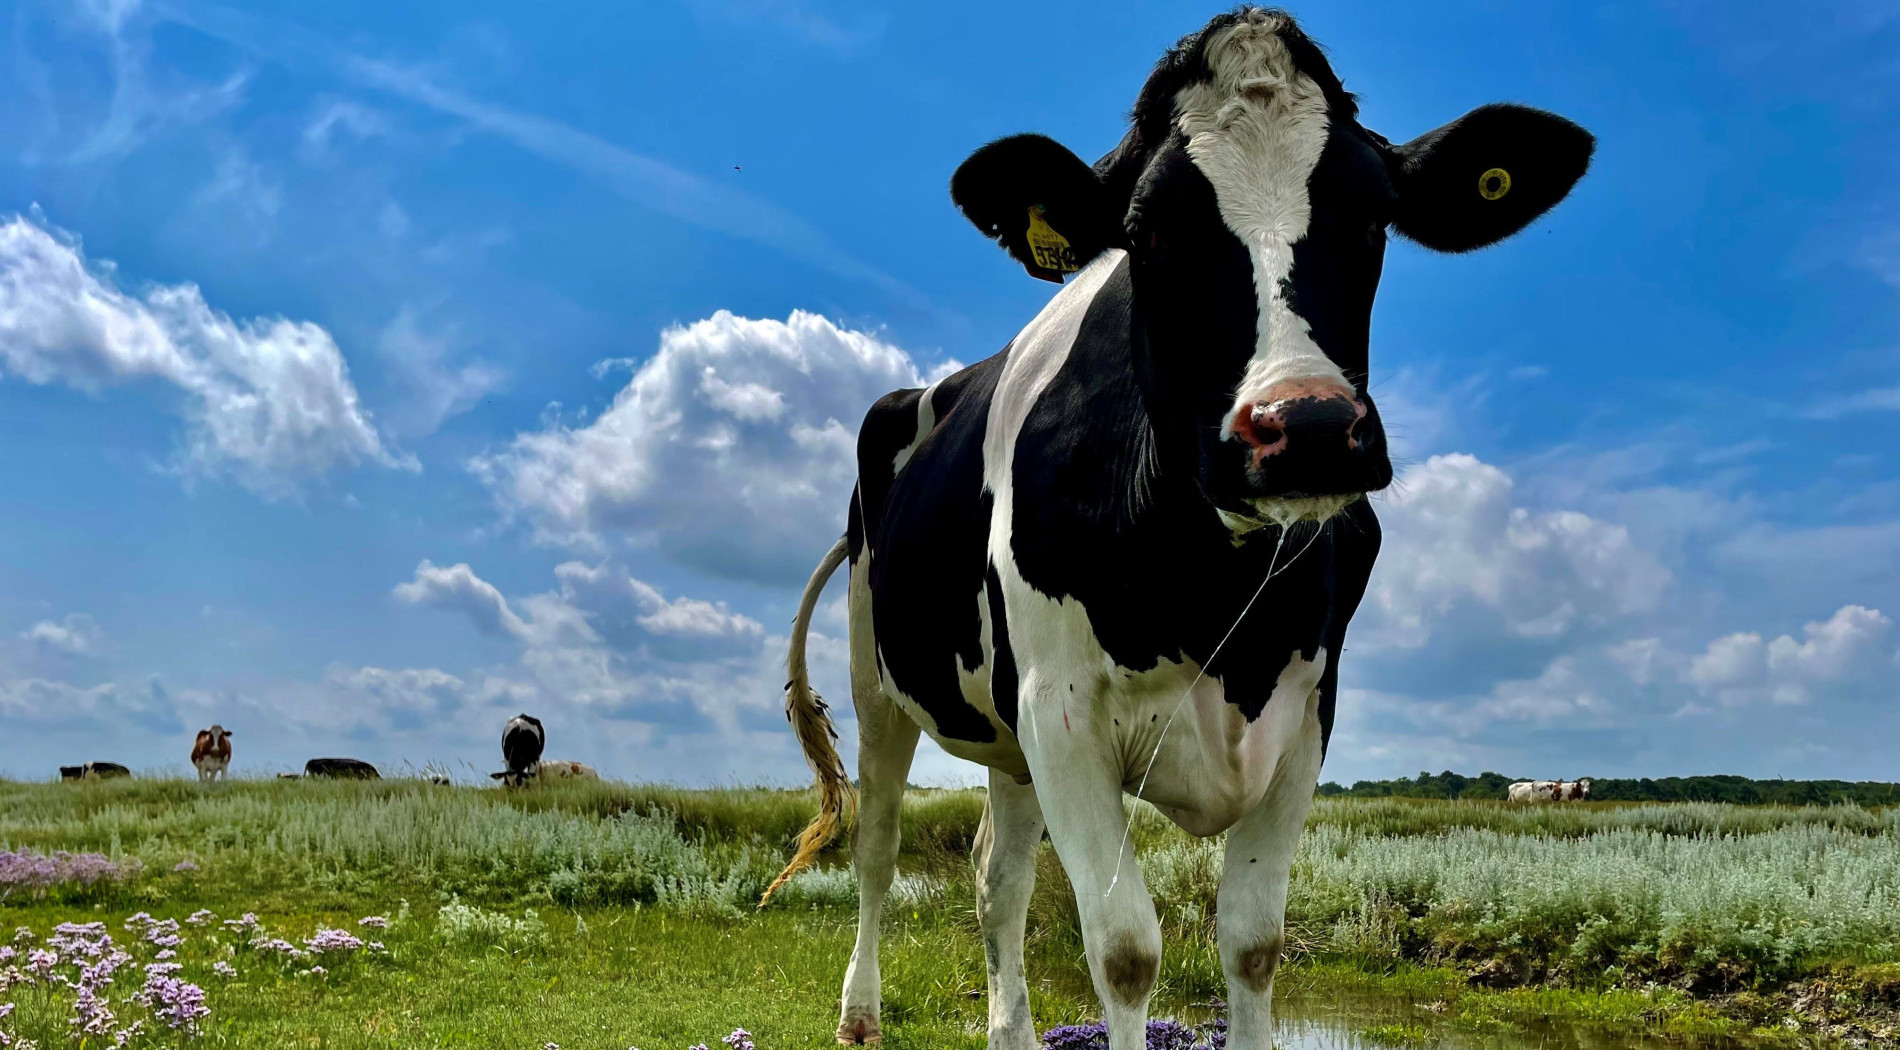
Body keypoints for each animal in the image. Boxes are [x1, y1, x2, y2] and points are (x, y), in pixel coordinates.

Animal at [764, 9, 1592, 1049]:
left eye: (1373, 218)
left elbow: (1252, 942)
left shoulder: (1306, 711)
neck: (1218, 587)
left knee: (998, 876)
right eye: (1146, 230)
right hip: (877, 676)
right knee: (878, 845)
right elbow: (1125, 949)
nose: (1307, 427)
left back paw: (1010, 1028)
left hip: (1007, 737)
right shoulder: (1063, 709)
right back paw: (860, 1014)